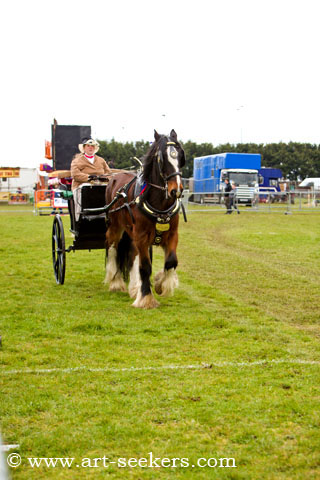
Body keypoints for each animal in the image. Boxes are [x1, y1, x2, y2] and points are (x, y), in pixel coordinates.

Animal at [105, 127, 185, 310]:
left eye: (180, 155)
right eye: (162, 158)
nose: (176, 190)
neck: (160, 205)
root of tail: (114, 177)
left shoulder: (172, 235)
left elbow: (171, 261)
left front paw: (161, 284)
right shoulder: (141, 236)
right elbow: (145, 267)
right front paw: (146, 298)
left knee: (133, 255)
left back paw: (135, 287)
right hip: (115, 227)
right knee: (112, 248)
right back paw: (115, 282)